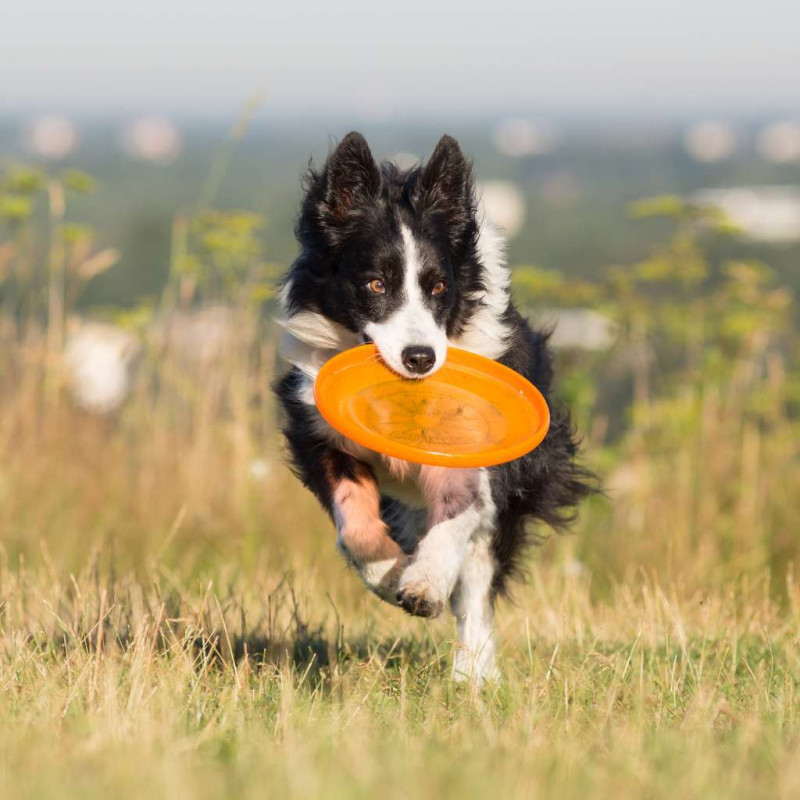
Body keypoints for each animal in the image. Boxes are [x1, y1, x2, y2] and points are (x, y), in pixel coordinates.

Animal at [276, 133, 592, 680]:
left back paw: (473, 675)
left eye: (439, 287)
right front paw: (388, 572)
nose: (420, 358)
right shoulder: (316, 431)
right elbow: (353, 524)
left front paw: (424, 584)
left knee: (479, 583)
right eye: (375, 284)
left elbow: (461, 513)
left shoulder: (476, 452)